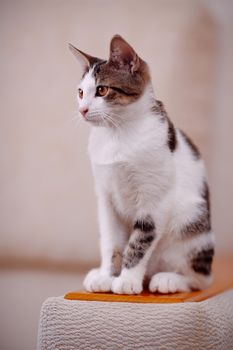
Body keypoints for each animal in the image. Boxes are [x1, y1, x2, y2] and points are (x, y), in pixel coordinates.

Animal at [69, 35, 215, 294]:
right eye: (80, 92)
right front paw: (106, 275)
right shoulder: (105, 197)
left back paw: (169, 279)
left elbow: (140, 241)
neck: (117, 133)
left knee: (201, 279)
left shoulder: (154, 199)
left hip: (193, 224)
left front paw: (127, 280)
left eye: (102, 90)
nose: (82, 109)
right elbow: (110, 240)